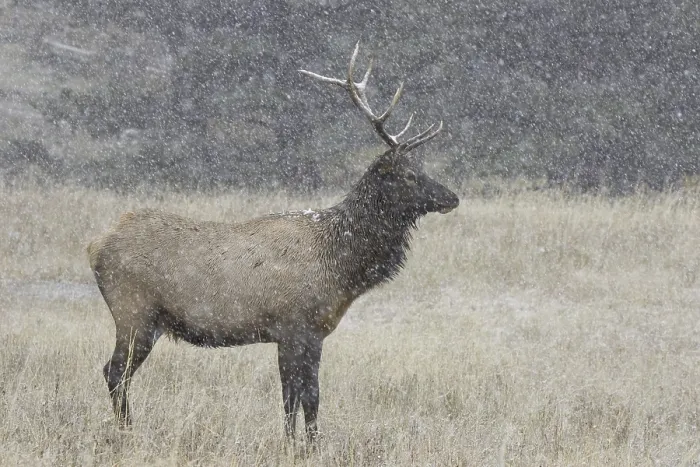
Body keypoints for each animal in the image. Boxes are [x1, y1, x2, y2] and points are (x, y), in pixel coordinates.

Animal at [88, 42, 459, 444]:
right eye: (409, 175)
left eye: (423, 169)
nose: (452, 197)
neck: (340, 267)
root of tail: (95, 246)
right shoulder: (297, 327)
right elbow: (302, 397)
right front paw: (301, 445)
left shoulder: (303, 334)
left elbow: (300, 397)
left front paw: (301, 443)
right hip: (134, 311)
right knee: (114, 371)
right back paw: (127, 431)